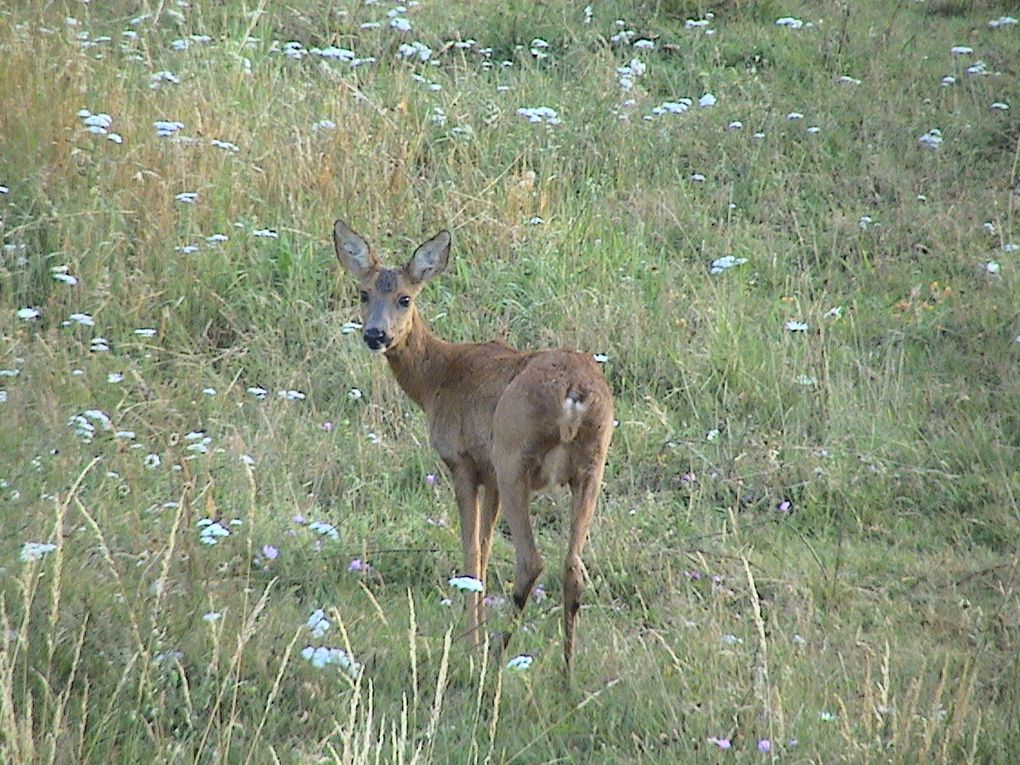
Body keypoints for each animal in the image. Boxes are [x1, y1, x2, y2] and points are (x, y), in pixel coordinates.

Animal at [332, 220, 612, 669]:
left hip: (515, 457)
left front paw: (470, 642)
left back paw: (495, 655)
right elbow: (483, 547)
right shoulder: (490, 475)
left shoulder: (465, 462)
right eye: (363, 293)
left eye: (405, 298)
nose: (376, 334)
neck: (439, 379)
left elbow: (471, 554)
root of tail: (575, 392)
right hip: (591, 465)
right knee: (574, 567)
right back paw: (566, 672)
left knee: (532, 562)